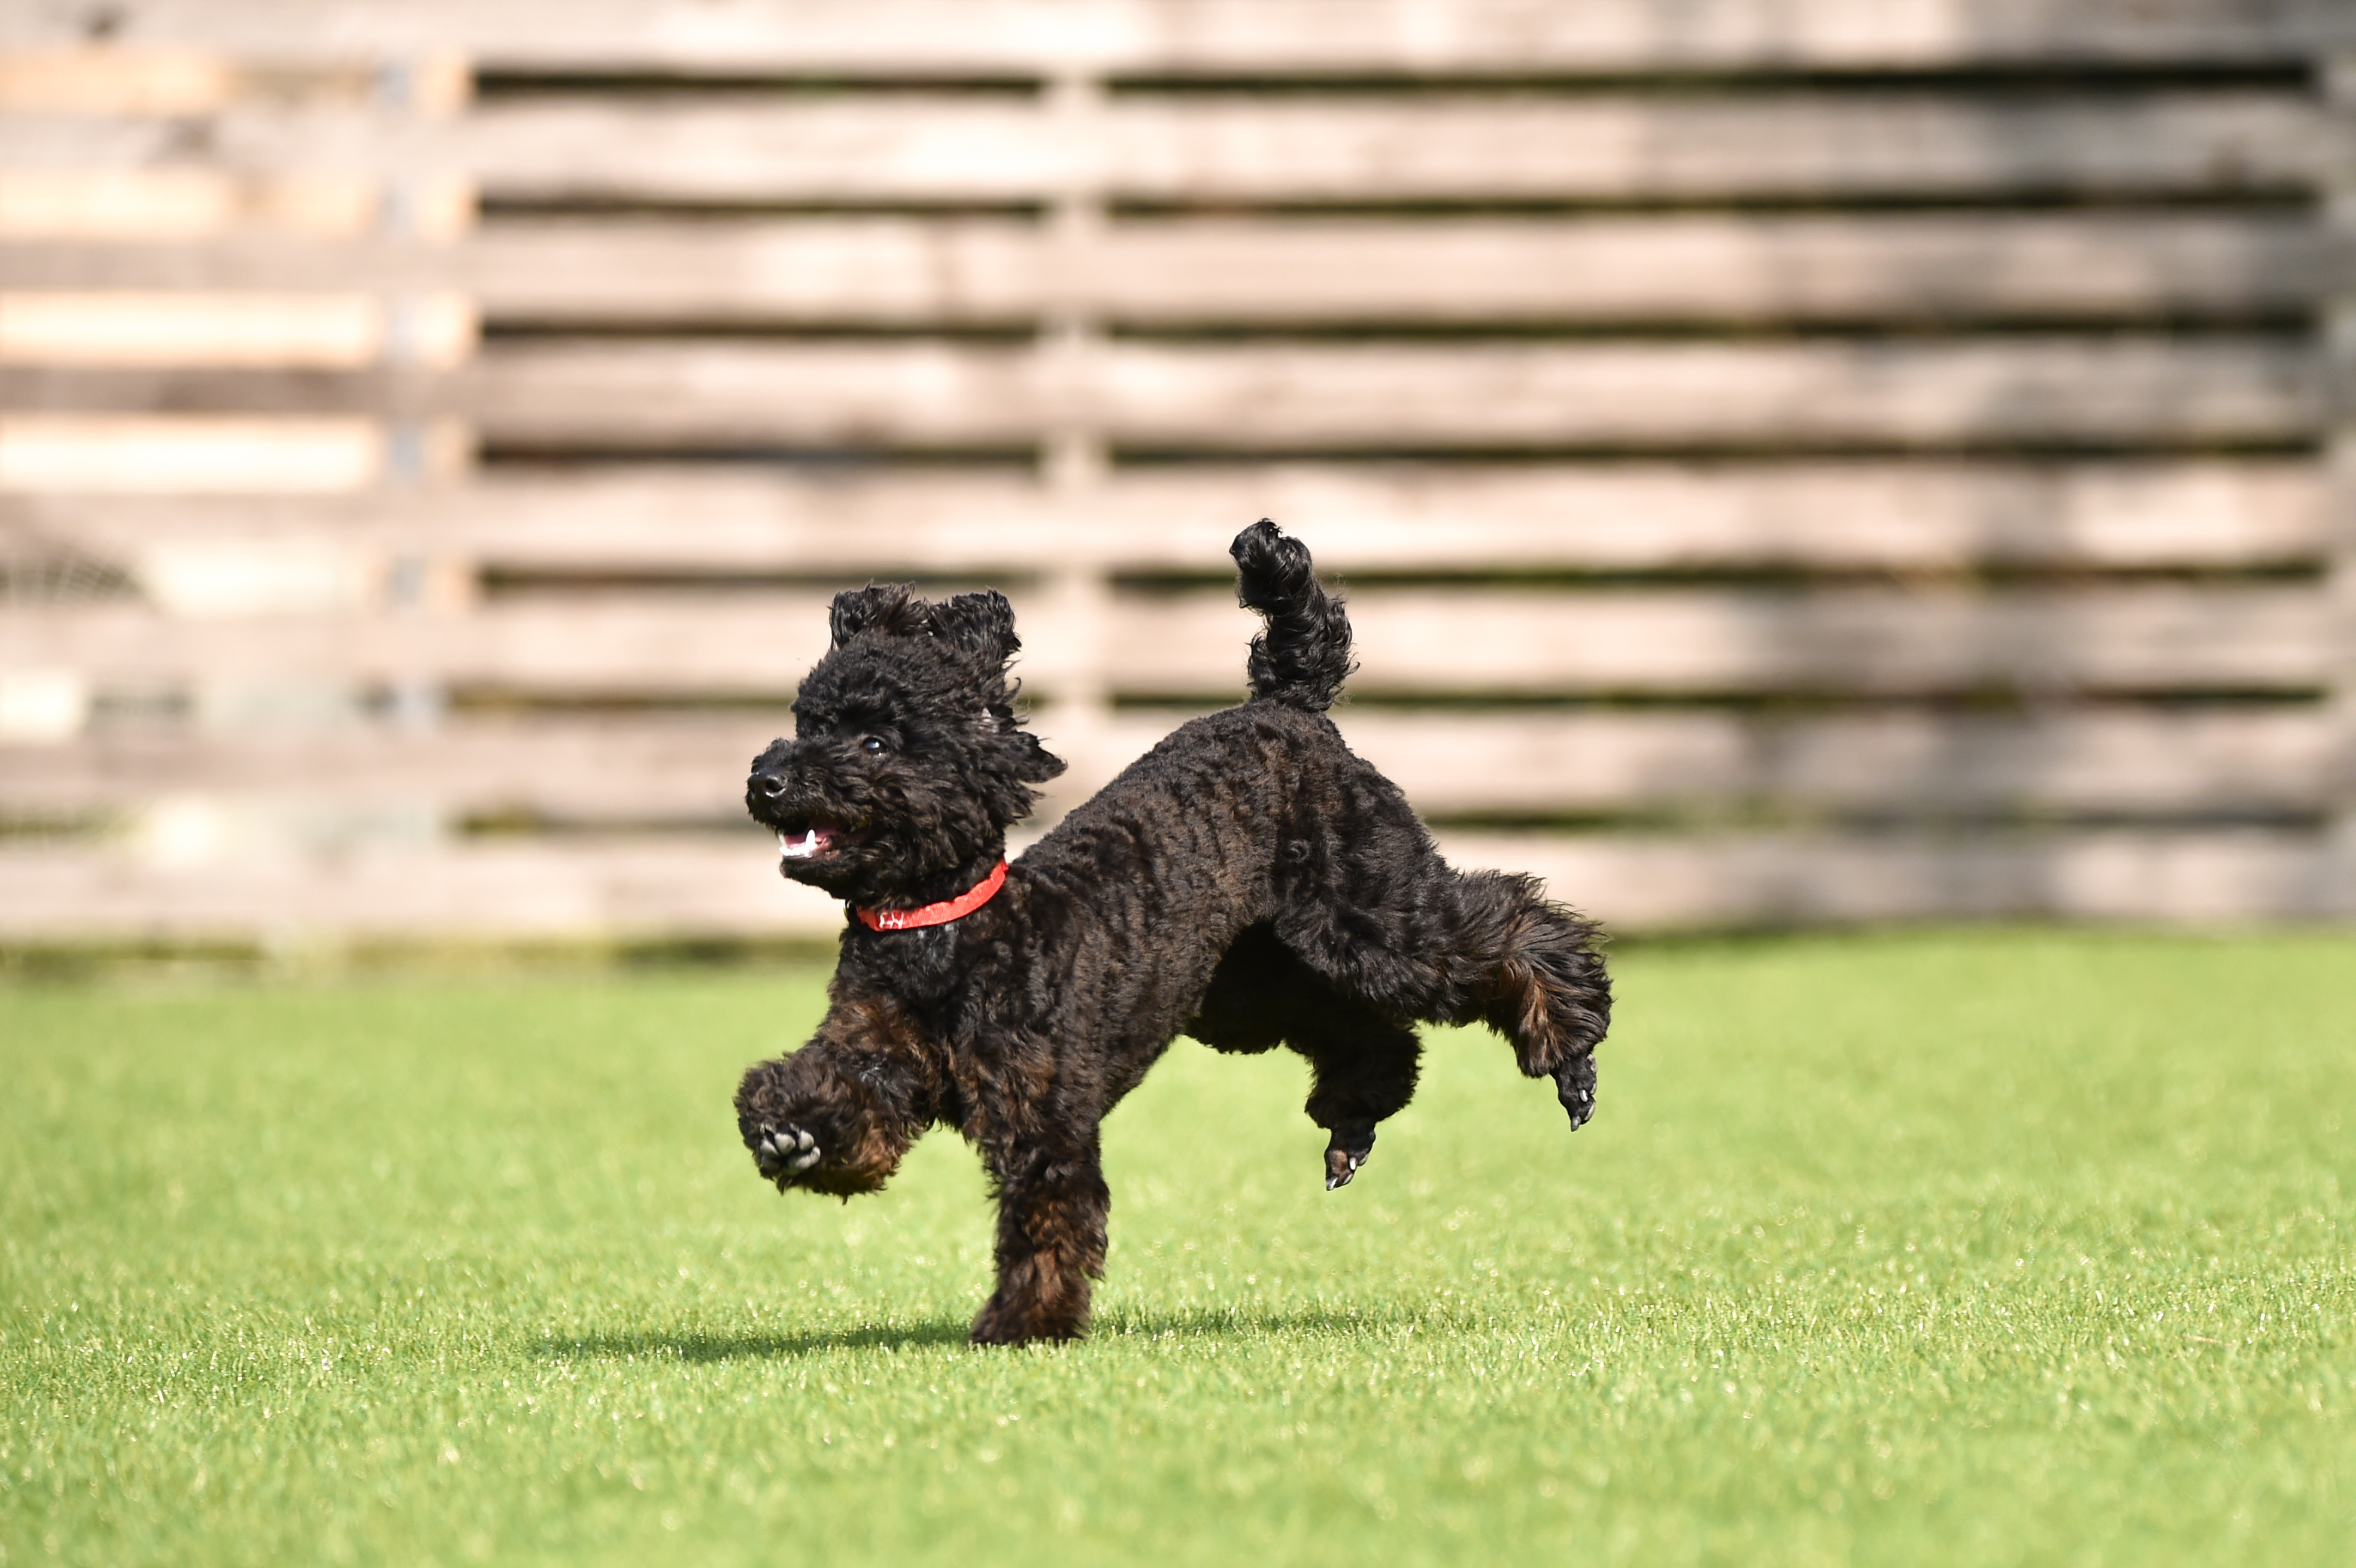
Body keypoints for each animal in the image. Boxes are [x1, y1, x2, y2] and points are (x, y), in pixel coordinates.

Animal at [744, 518, 1611, 1337]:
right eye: (805, 723)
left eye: (874, 740)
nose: (767, 776)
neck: (943, 934)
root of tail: (1285, 707)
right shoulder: (882, 1050)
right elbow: (839, 1094)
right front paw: (792, 1134)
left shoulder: (1044, 1115)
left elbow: (1045, 1224)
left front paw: (1024, 1326)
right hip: (1246, 985)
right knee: (1371, 1034)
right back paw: (1353, 1121)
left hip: (1372, 919)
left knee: (1513, 931)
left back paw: (1568, 1052)